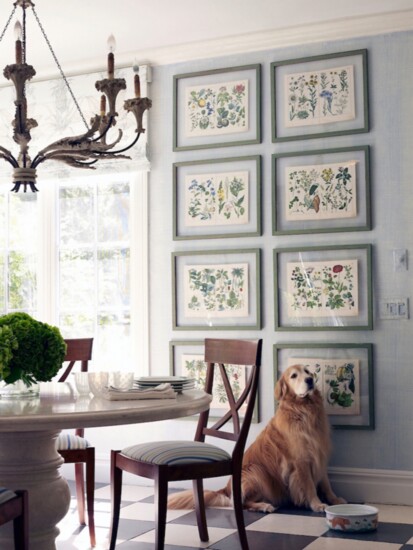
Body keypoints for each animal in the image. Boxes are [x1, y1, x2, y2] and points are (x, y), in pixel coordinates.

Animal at [167, 364, 344, 516]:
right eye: (294, 376)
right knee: (242, 504)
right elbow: (309, 486)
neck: (304, 410)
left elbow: (326, 482)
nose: (309, 380)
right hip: (256, 472)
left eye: (307, 371)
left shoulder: (319, 453)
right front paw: (317, 504)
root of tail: (226, 489)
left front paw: (335, 499)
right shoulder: (301, 460)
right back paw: (264, 506)